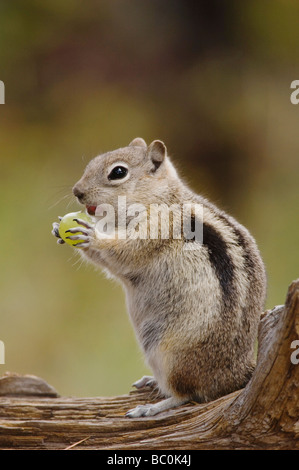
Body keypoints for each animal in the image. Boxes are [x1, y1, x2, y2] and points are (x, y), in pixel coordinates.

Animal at [51, 138, 268, 416]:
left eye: (118, 172)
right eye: (91, 164)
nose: (77, 191)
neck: (159, 199)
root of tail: (235, 375)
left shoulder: (157, 227)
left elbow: (125, 251)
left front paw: (93, 235)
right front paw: (59, 229)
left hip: (170, 354)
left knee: (187, 394)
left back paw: (151, 407)